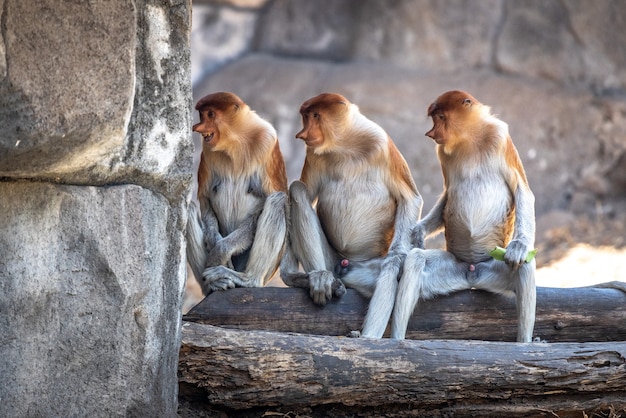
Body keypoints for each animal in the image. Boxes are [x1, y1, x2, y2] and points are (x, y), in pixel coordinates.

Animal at [188, 92, 288, 294]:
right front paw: (215, 244)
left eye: (210, 114)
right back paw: (212, 285)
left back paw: (247, 279)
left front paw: (220, 252)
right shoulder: (208, 150)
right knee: (189, 209)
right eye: (202, 114)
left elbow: (270, 199)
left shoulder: (267, 141)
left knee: (278, 200)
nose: (197, 127)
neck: (235, 141)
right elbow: (204, 199)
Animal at [280, 93, 422, 338]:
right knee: (298, 189)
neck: (345, 145)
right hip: (333, 260)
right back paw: (321, 279)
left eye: (315, 115)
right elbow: (301, 192)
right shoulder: (313, 153)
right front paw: (290, 276)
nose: (302, 134)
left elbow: (410, 198)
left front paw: (398, 252)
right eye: (305, 117)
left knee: (390, 266)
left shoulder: (382, 144)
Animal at [392, 90, 532, 342]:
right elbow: (448, 193)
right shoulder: (442, 153)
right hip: (453, 268)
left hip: (492, 269)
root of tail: (472, 271)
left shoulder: (500, 138)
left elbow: (522, 190)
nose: (430, 133)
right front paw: (417, 232)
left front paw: (519, 246)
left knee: (525, 264)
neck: (470, 138)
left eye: (440, 117)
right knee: (416, 260)